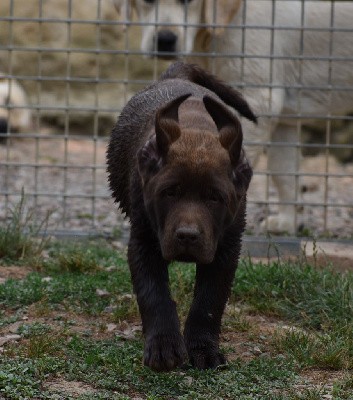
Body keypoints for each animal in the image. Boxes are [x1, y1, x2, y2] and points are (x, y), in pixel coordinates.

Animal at [106, 62, 254, 372]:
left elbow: (209, 302)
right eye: (170, 192)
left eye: (215, 198)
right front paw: (164, 347)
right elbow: (155, 295)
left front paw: (203, 349)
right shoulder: (144, 242)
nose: (187, 236)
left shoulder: (226, 248)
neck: (196, 131)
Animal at [113, 0, 352, 233]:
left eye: (188, 2)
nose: (165, 39)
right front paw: (287, 223)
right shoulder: (284, 121)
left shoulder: (257, 100)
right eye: (148, 1)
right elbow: (283, 172)